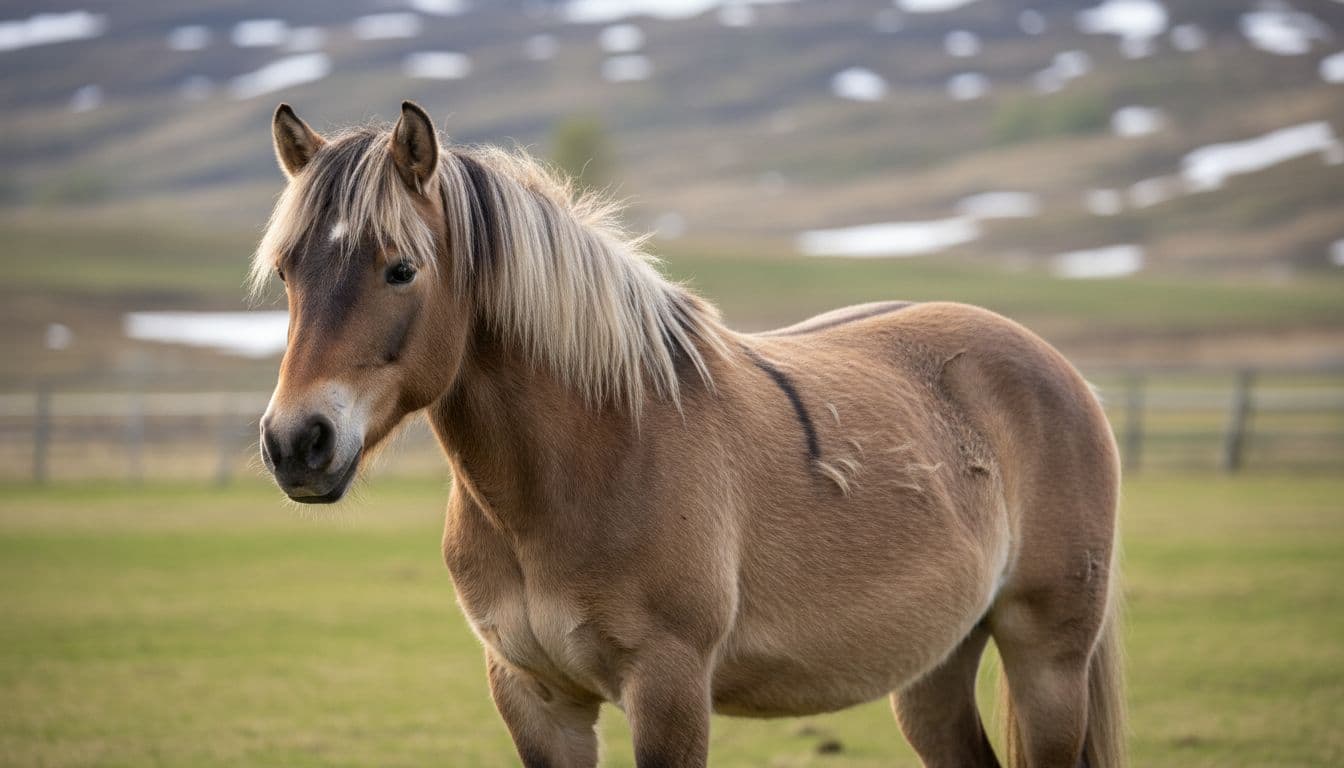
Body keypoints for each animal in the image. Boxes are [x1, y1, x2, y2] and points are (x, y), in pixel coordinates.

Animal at [255, 101, 1125, 768]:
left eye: (401, 268)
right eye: (290, 272)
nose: (298, 442)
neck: (594, 459)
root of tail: (1059, 371)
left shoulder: (668, 688)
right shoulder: (536, 698)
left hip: (1047, 660)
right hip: (934, 669)